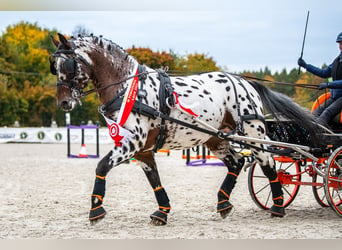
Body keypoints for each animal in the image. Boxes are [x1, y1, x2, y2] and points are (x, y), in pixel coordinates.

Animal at [49, 33, 322, 227]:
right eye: (55, 66)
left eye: (69, 65)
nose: (64, 103)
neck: (129, 88)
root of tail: (246, 82)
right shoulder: (142, 149)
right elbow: (154, 180)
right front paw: (162, 212)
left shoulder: (133, 142)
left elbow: (101, 165)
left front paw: (96, 209)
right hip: (216, 138)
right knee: (236, 163)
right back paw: (224, 203)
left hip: (253, 134)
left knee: (268, 164)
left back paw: (277, 206)